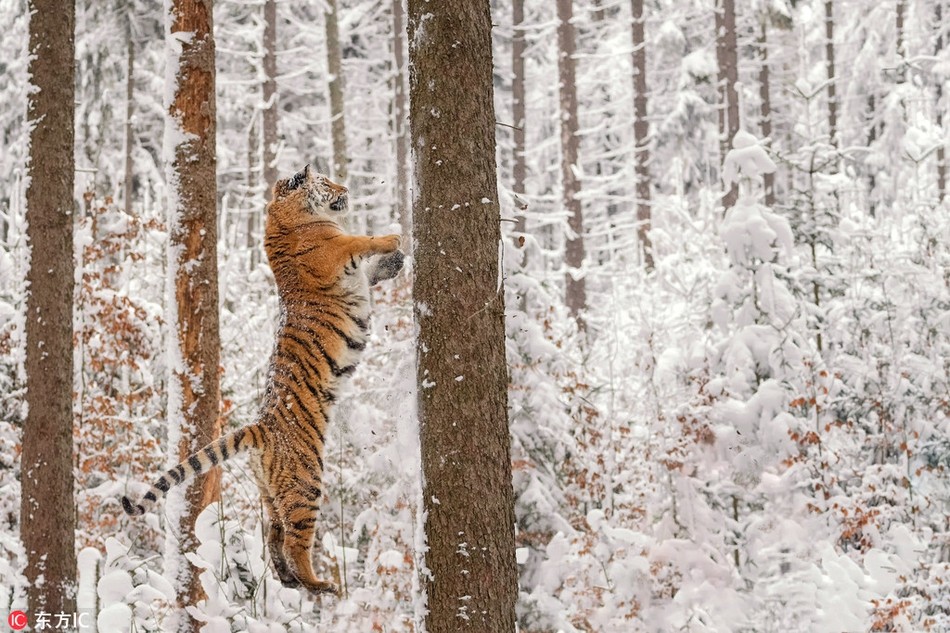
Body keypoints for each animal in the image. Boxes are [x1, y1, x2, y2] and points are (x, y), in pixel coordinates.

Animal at [122, 164, 406, 592]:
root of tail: (260, 426)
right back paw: (319, 583)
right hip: (307, 483)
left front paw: (398, 259)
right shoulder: (335, 250)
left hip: (270, 490)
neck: (291, 216)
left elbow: (371, 268)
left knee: (273, 534)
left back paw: (290, 581)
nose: (346, 188)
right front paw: (394, 237)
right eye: (327, 183)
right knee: (294, 540)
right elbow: (360, 240)